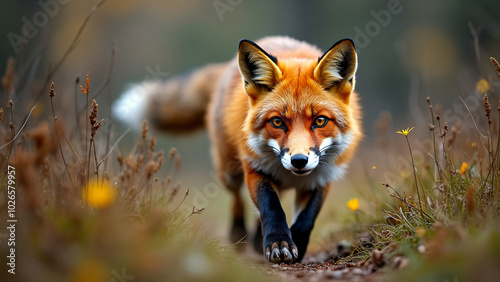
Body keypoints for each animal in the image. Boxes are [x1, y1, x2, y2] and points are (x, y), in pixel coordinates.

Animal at [113, 36, 362, 264]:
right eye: (277, 122)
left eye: (320, 121)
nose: (299, 161)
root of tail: (226, 66)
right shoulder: (254, 168)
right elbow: (271, 207)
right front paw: (279, 242)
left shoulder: (322, 178)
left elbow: (306, 219)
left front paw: (296, 244)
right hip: (229, 170)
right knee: (237, 199)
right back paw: (239, 236)